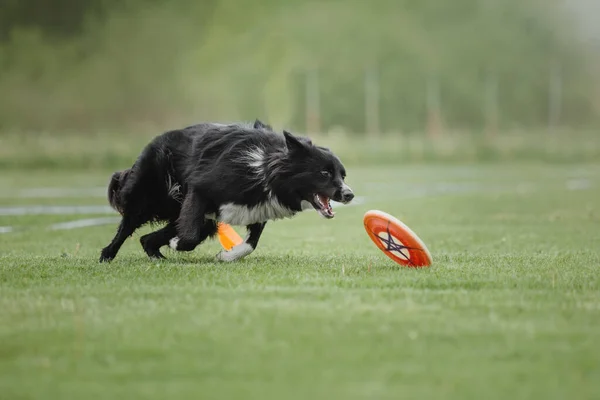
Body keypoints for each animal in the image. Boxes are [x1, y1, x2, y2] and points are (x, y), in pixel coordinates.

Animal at [98, 119, 352, 262]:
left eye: (343, 175)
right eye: (324, 173)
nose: (349, 194)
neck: (265, 169)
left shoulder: (258, 207)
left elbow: (250, 244)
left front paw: (226, 256)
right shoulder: (200, 190)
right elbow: (189, 238)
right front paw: (176, 245)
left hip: (198, 219)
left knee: (146, 239)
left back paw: (157, 257)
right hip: (148, 198)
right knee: (128, 227)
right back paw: (107, 255)